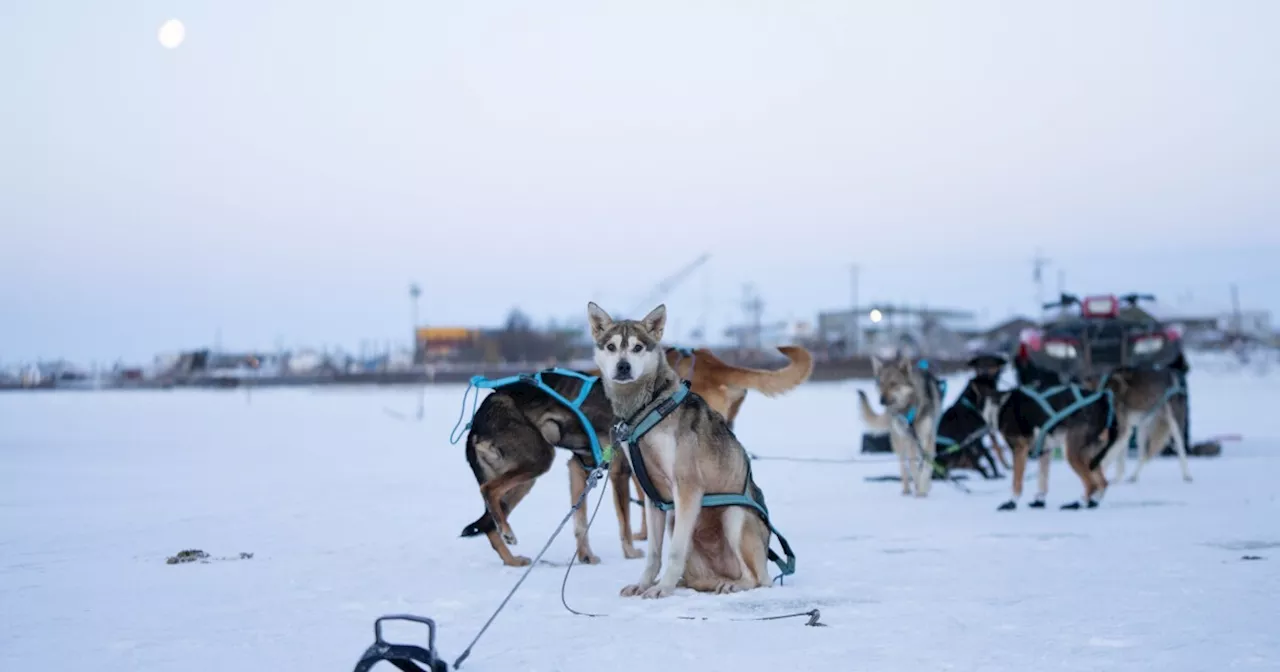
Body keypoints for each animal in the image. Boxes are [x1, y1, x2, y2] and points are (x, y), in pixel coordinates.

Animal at [860, 353, 942, 494]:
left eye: (893, 384)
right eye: (881, 384)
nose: (882, 400)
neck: (910, 409)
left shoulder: (927, 438)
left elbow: (926, 466)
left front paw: (923, 489)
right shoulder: (909, 440)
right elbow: (913, 467)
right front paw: (919, 488)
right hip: (900, 442)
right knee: (904, 465)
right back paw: (906, 490)